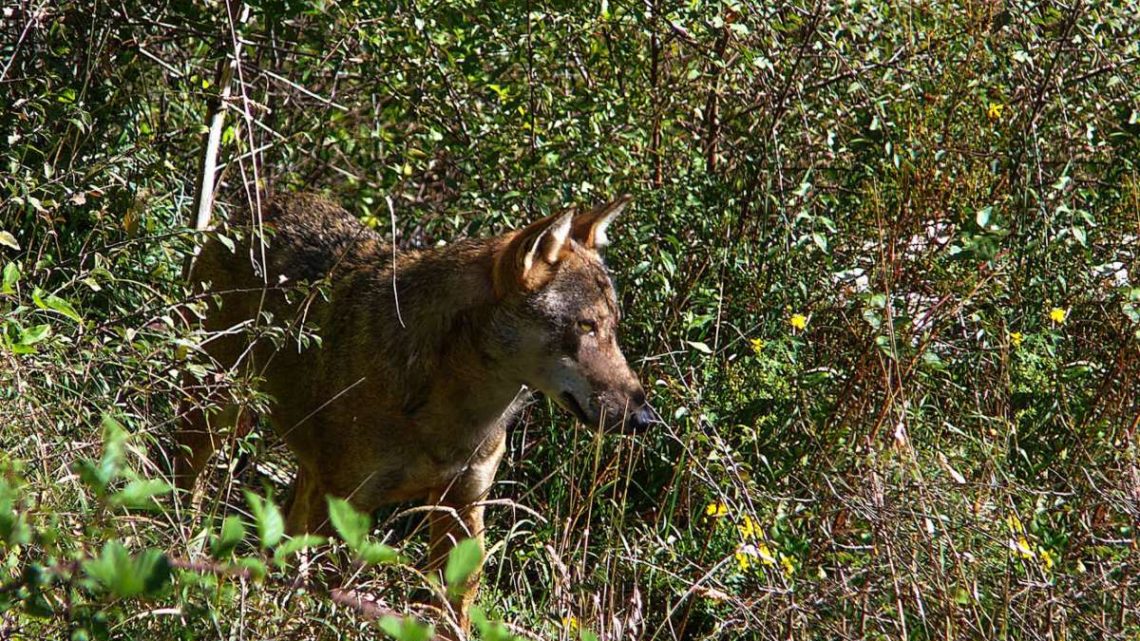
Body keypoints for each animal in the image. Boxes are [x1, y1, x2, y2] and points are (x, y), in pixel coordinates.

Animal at [169, 190, 652, 629]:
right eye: (585, 326)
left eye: (612, 328)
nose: (644, 418)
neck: (451, 416)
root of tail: (267, 200)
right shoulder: (347, 507)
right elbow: (329, 600)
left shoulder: (464, 506)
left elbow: (456, 606)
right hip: (216, 420)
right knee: (187, 489)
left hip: (307, 470)